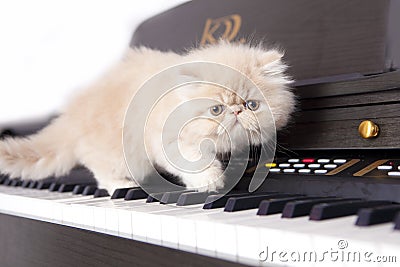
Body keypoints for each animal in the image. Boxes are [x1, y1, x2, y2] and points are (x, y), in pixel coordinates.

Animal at [0, 42, 294, 193]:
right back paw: (123, 185)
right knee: (102, 174)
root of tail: (71, 115)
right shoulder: (165, 142)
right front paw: (210, 182)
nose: (236, 111)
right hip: (119, 156)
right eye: (216, 110)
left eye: (251, 105)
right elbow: (194, 162)